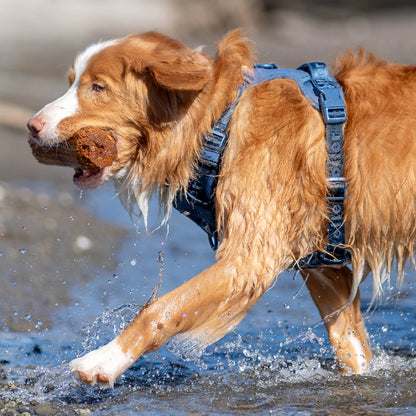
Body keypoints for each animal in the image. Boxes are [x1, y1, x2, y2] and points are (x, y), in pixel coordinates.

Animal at [26, 29, 416, 386]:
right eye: (72, 82)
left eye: (98, 87)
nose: (32, 126)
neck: (220, 119)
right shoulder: (321, 266)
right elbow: (351, 346)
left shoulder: (250, 257)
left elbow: (162, 309)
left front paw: (105, 359)